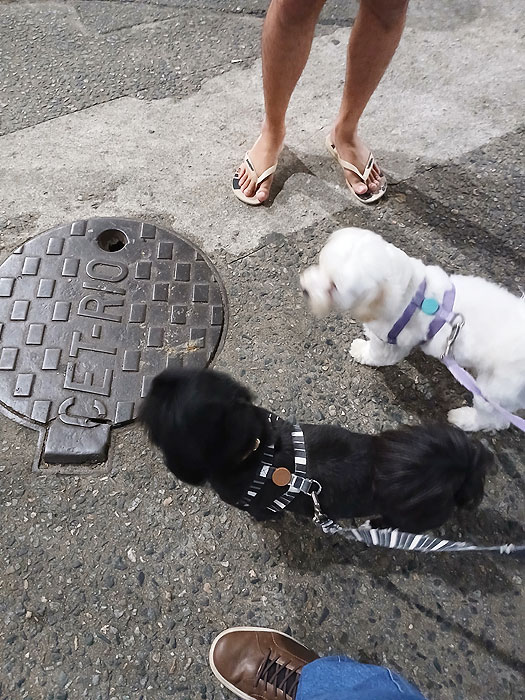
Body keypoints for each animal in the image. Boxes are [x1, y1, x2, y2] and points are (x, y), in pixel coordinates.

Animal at [300, 227, 525, 432]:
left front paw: (361, 350)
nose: (305, 290)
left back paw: (464, 419)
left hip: (495, 390)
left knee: (495, 419)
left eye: (333, 286)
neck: (413, 292)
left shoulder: (391, 341)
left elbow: (377, 354)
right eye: (321, 264)